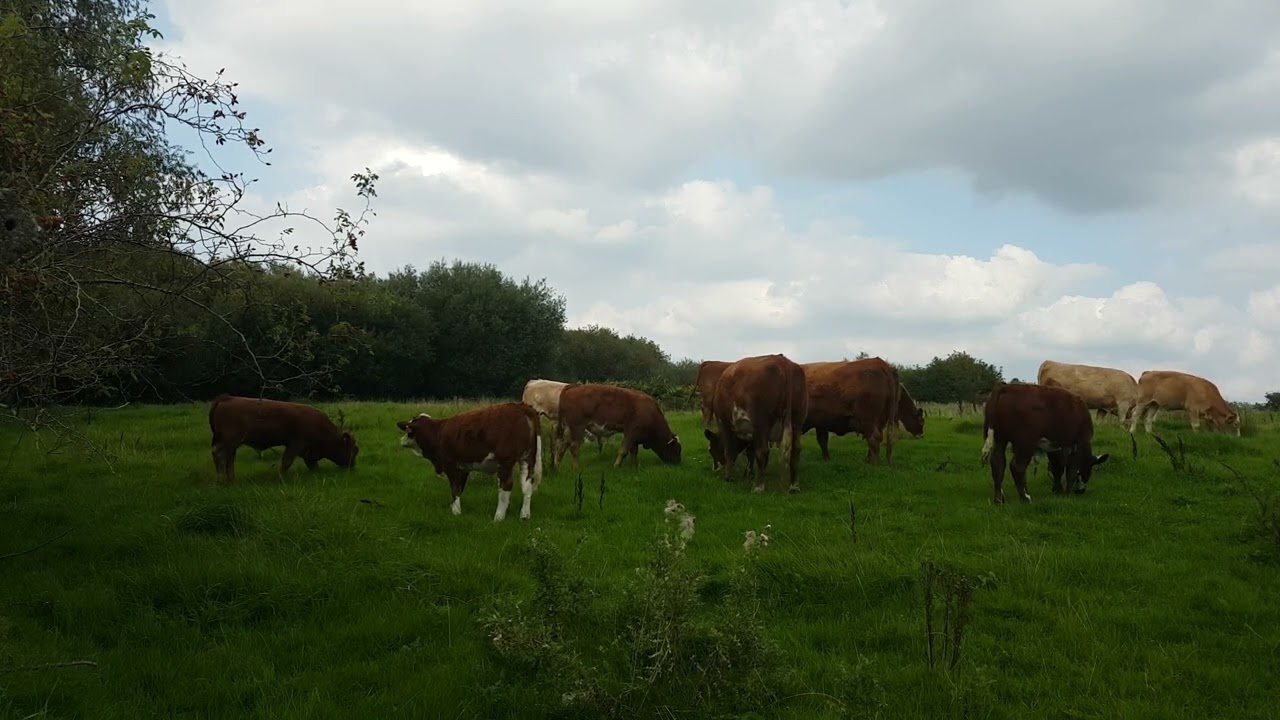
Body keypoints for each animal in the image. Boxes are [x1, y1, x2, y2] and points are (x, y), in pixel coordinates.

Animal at [208, 394, 358, 483]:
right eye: (355, 449)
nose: (352, 467)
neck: (321, 427)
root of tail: (227, 398)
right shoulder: (296, 444)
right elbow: (287, 462)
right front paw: (281, 478)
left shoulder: (307, 451)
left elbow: (312, 464)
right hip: (227, 442)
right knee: (220, 456)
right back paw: (222, 481)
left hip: (231, 444)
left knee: (229, 459)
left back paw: (232, 480)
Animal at [396, 402, 543, 521]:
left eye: (408, 432)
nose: (401, 440)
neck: (438, 432)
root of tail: (523, 406)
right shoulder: (463, 468)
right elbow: (460, 488)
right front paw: (453, 508)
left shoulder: (450, 465)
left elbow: (455, 489)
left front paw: (456, 512)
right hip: (527, 459)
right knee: (527, 486)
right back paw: (524, 515)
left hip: (505, 462)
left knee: (506, 486)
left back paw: (498, 517)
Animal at [553, 383, 682, 470]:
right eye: (677, 449)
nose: (678, 462)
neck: (650, 413)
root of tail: (574, 387)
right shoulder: (631, 432)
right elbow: (624, 451)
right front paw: (616, 466)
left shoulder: (635, 437)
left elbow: (633, 451)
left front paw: (634, 465)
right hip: (577, 428)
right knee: (573, 447)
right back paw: (576, 468)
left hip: (568, 429)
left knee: (562, 446)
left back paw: (557, 467)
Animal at [703, 354, 807, 493]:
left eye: (711, 450)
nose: (714, 468)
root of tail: (783, 361)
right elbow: (750, 454)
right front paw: (749, 474)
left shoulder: (724, 423)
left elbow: (729, 451)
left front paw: (729, 477)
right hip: (797, 422)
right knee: (795, 451)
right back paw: (794, 486)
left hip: (762, 425)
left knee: (762, 451)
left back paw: (758, 487)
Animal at [979, 383, 1110, 504]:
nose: (1080, 491)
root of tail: (1005, 388)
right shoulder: (1077, 444)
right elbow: (1071, 471)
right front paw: (1067, 494)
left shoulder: (1056, 447)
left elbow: (1057, 468)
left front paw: (1057, 490)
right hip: (1025, 443)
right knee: (1017, 467)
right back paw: (1025, 497)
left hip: (999, 439)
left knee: (998, 463)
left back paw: (999, 499)